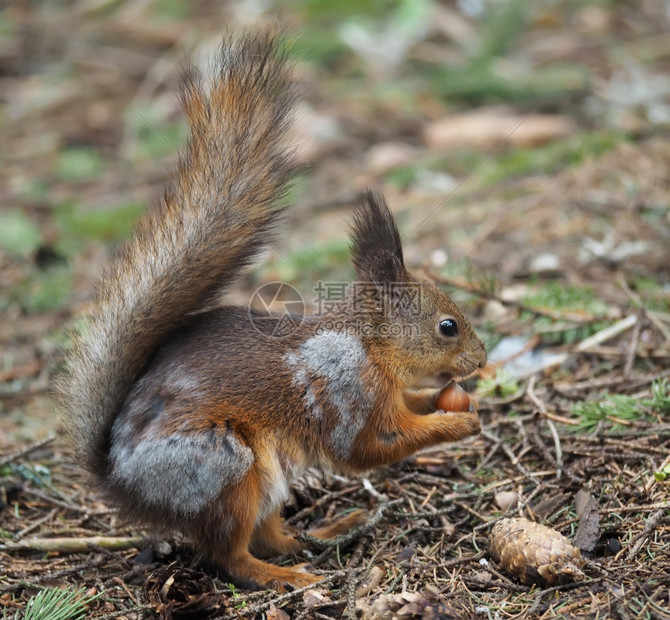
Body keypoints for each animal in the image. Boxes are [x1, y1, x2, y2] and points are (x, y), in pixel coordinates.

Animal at [53, 32, 488, 592]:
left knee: (265, 534)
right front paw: (457, 426)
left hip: (266, 481)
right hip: (224, 467)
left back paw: (318, 534)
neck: (370, 346)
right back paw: (286, 576)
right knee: (229, 555)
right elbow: (370, 448)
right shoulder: (347, 391)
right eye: (447, 327)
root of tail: (120, 479)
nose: (482, 359)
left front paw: (449, 401)